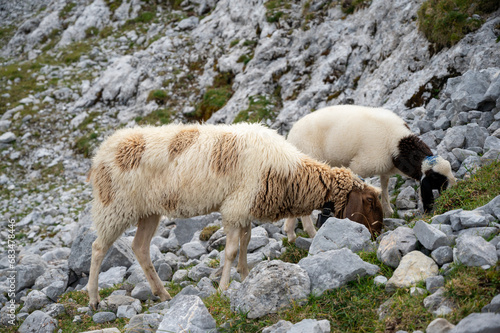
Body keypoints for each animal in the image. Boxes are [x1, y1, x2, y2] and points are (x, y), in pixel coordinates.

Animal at [86, 122, 382, 308]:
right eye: (369, 201)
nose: (378, 234)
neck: (289, 174)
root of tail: (102, 150)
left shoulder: (245, 208)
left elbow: (246, 243)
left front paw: (245, 275)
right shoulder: (235, 207)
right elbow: (229, 250)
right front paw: (224, 287)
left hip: (148, 210)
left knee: (140, 248)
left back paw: (163, 294)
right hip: (114, 207)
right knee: (98, 248)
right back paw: (93, 298)